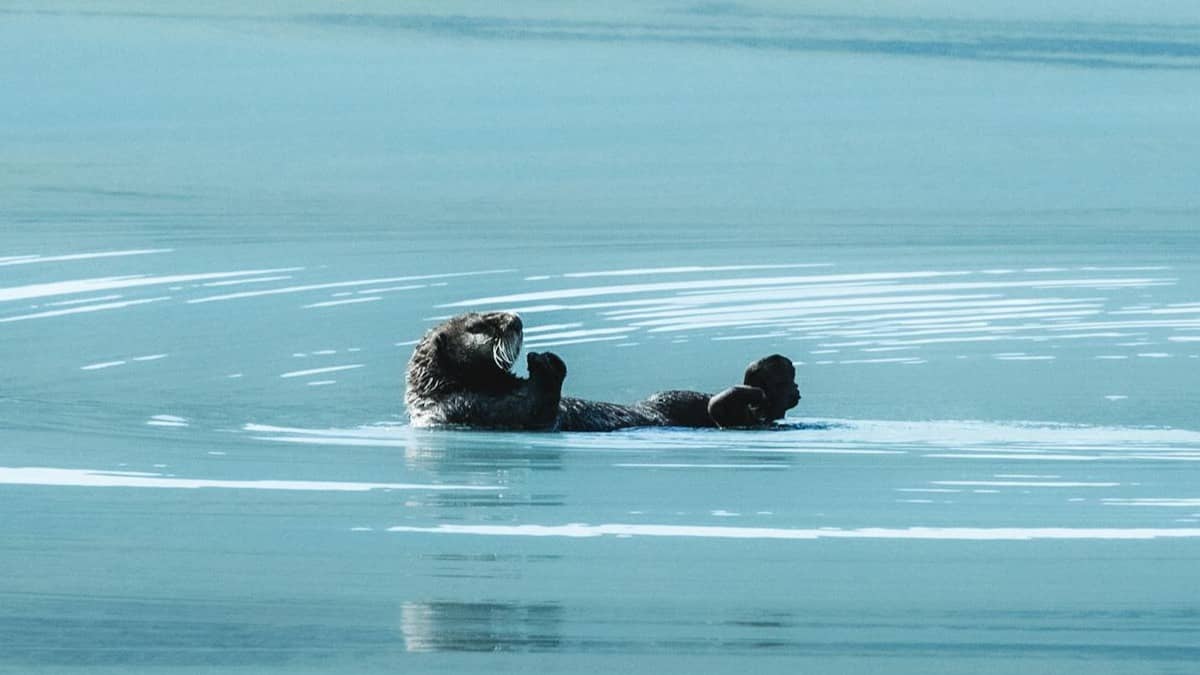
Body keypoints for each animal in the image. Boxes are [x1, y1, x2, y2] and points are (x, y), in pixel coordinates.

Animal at [405, 312, 800, 432]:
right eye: (479, 326)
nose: (516, 318)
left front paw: (540, 357)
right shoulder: (468, 408)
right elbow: (537, 409)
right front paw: (543, 361)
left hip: (671, 399)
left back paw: (776, 376)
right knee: (733, 413)